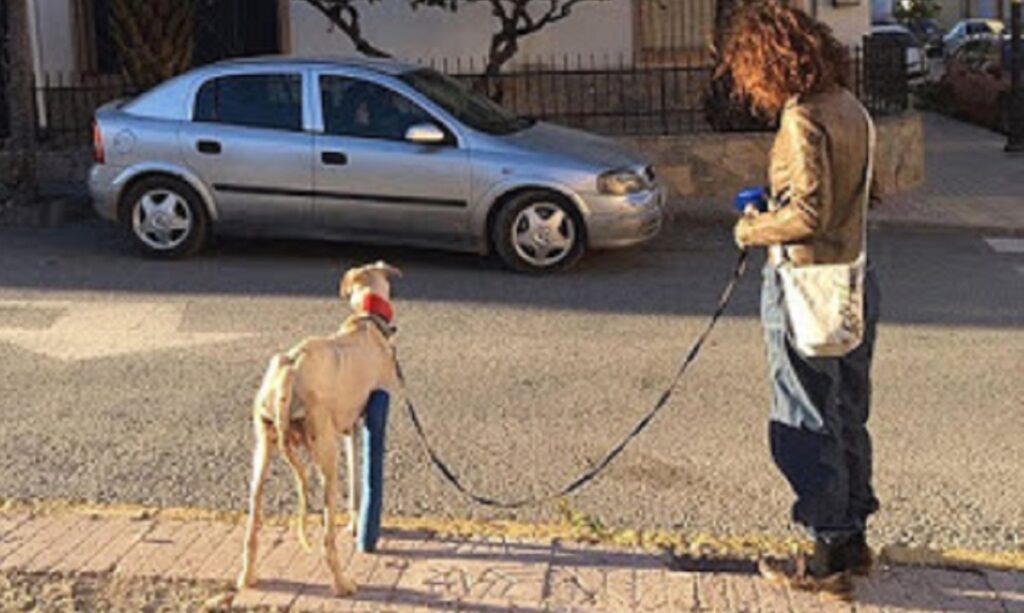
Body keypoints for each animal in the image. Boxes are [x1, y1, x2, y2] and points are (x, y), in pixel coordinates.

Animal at [238, 260, 399, 597]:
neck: (365, 322)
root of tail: (289, 370)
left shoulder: (350, 428)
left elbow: (356, 477)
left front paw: (353, 523)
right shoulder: (366, 420)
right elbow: (362, 477)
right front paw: (357, 526)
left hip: (263, 449)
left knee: (253, 522)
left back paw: (247, 577)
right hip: (325, 453)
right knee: (327, 540)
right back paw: (343, 583)